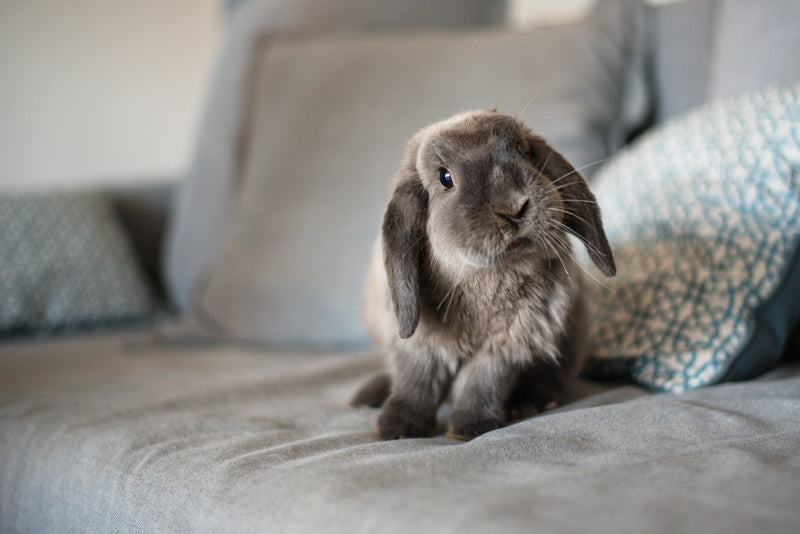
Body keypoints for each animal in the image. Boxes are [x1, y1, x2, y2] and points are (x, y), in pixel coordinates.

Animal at [351, 110, 616, 440]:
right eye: (445, 177)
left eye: (520, 151)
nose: (514, 208)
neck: (486, 277)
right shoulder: (420, 344)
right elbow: (416, 381)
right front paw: (396, 427)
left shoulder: (507, 345)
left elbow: (482, 383)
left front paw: (470, 427)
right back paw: (369, 395)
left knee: (554, 379)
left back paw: (530, 403)